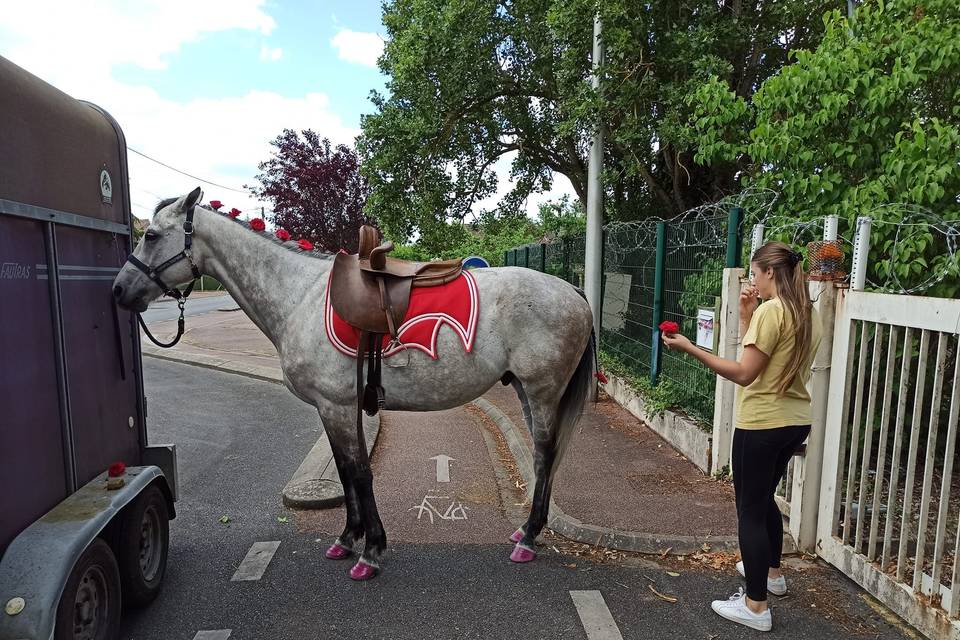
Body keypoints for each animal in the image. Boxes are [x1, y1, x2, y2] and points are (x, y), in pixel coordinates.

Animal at [112, 189, 592, 580]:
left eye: (151, 236)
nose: (118, 290)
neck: (299, 296)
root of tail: (574, 292)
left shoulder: (336, 406)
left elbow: (358, 473)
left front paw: (371, 552)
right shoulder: (338, 408)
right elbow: (347, 473)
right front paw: (348, 539)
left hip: (542, 391)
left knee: (545, 454)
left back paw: (528, 538)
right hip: (527, 390)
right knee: (543, 456)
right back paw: (525, 532)